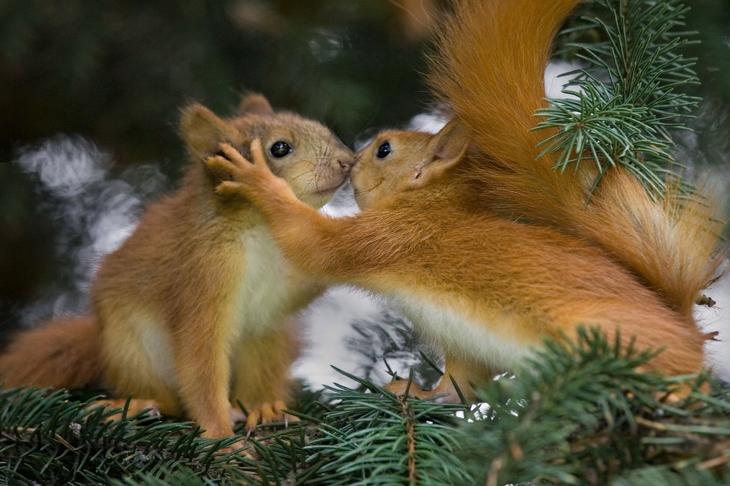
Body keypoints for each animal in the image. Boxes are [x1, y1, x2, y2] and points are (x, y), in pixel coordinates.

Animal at [0, 93, 352, 434]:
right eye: (280, 148)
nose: (348, 161)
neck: (263, 230)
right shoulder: (203, 274)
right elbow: (200, 362)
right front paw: (221, 438)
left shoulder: (285, 280)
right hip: (131, 348)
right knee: (169, 400)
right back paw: (137, 406)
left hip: (268, 338)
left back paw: (264, 408)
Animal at [205, 0, 724, 398]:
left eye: (384, 149)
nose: (349, 161)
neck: (429, 207)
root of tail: (685, 329)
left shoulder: (387, 237)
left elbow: (314, 243)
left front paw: (258, 179)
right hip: (468, 344)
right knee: (460, 387)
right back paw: (417, 393)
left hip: (610, 336)